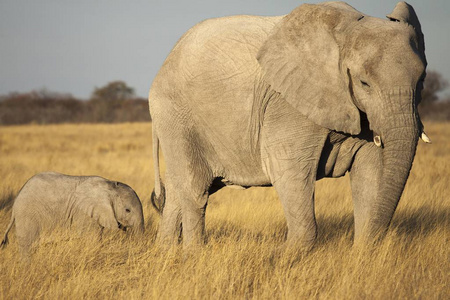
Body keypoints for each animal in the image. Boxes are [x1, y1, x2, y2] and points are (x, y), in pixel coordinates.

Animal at [0, 172, 144, 256]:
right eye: (127, 210)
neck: (110, 186)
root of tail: (15, 204)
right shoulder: (84, 213)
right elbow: (92, 240)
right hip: (28, 215)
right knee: (28, 245)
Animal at [149, 2, 430, 250]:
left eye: (422, 80)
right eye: (364, 83)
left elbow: (370, 172)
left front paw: (363, 251)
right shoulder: (286, 103)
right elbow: (288, 169)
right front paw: (283, 256)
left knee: (177, 190)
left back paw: (167, 253)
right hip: (176, 115)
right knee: (195, 192)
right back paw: (193, 254)